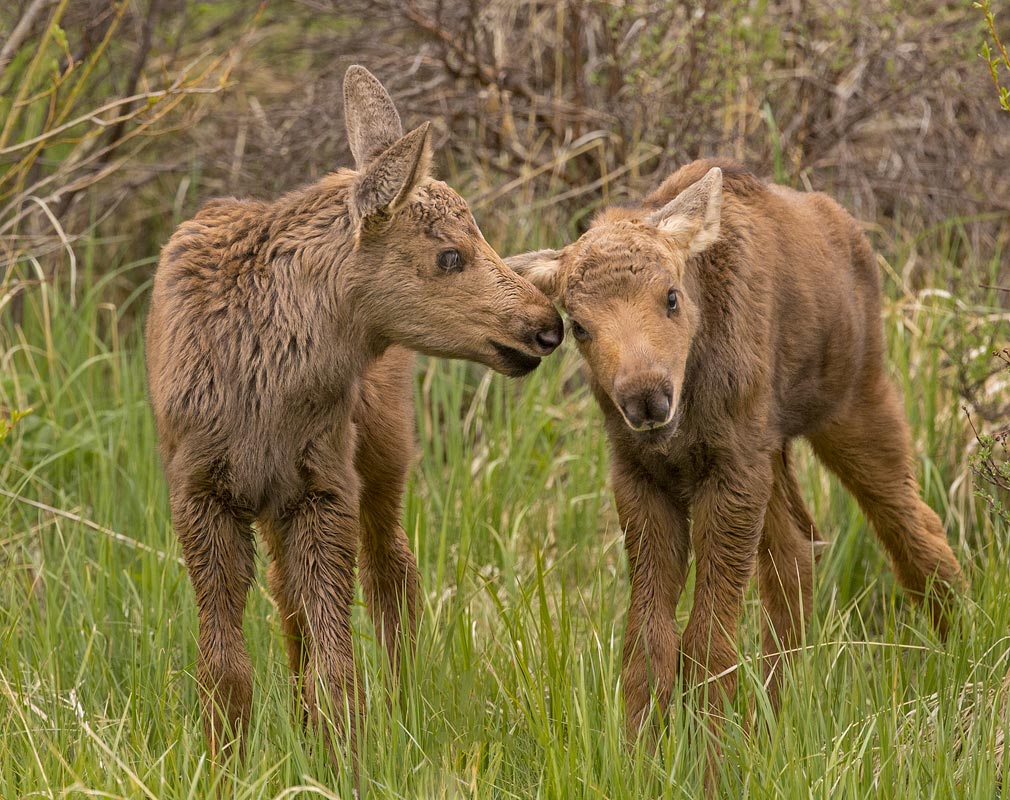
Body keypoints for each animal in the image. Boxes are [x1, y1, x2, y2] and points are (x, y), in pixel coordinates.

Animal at [145, 65, 563, 761]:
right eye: (450, 255)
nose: (546, 325)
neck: (266, 388)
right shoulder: (200, 488)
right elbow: (224, 666)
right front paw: (225, 760)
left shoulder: (325, 482)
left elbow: (337, 662)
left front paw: (345, 756)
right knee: (290, 598)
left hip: (383, 451)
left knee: (393, 571)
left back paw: (401, 705)